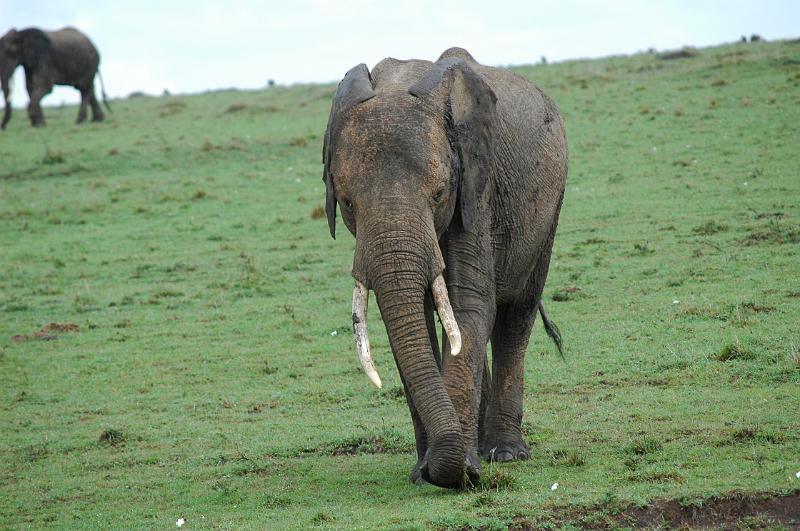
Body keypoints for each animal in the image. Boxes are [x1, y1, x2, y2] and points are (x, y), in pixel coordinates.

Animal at [323, 47, 568, 488]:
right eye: (348, 203)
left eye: (439, 194)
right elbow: (413, 317)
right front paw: (426, 473)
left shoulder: (476, 185)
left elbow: (469, 302)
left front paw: (460, 473)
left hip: (550, 207)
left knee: (515, 318)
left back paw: (505, 453)